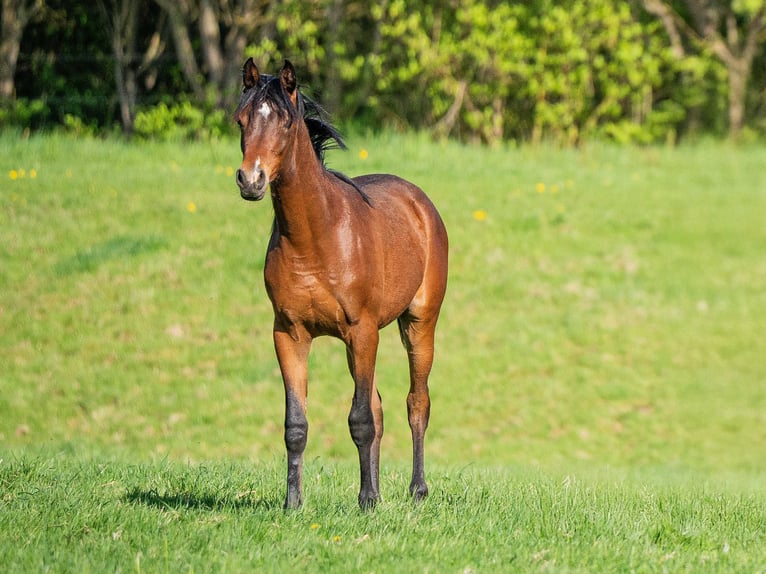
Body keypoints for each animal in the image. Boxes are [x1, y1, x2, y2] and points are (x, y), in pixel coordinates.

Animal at [233, 58, 448, 509]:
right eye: (241, 120)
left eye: (284, 122)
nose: (250, 180)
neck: (316, 237)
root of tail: (420, 203)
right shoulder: (289, 334)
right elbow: (296, 424)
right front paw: (293, 503)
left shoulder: (362, 331)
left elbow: (361, 418)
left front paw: (365, 501)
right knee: (382, 407)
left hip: (418, 324)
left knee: (416, 402)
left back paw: (416, 490)